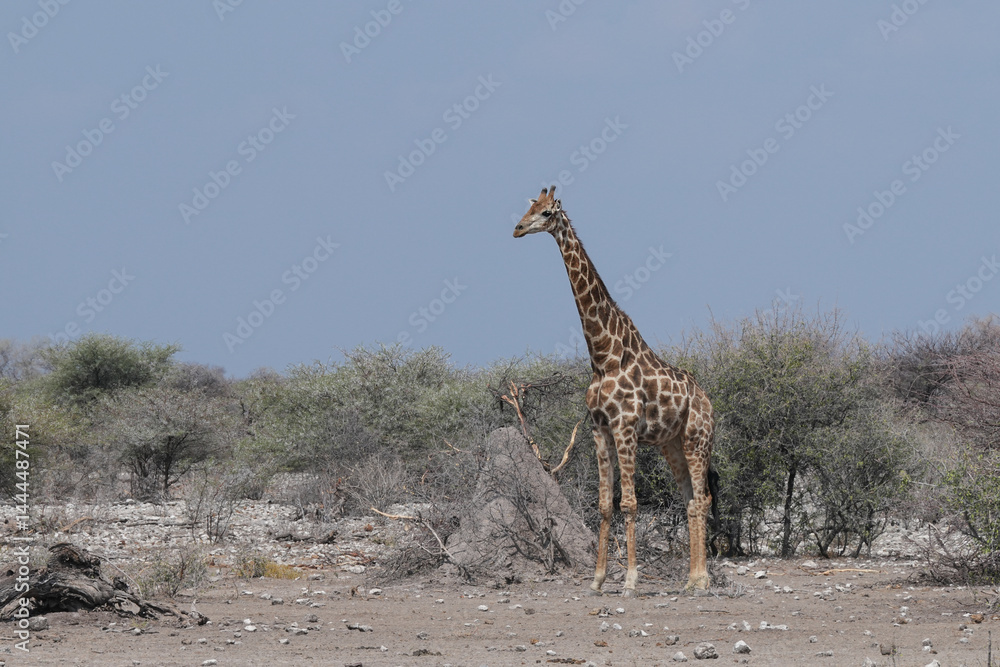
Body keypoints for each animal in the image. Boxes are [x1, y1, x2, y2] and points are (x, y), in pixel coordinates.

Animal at [513, 186, 715, 596]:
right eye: (529, 207)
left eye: (546, 213)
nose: (517, 228)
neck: (603, 355)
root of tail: (709, 403)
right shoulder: (598, 428)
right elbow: (606, 505)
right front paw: (597, 579)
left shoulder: (625, 427)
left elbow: (631, 503)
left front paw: (631, 581)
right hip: (672, 445)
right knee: (690, 500)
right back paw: (690, 579)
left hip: (697, 439)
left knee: (702, 498)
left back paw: (702, 580)